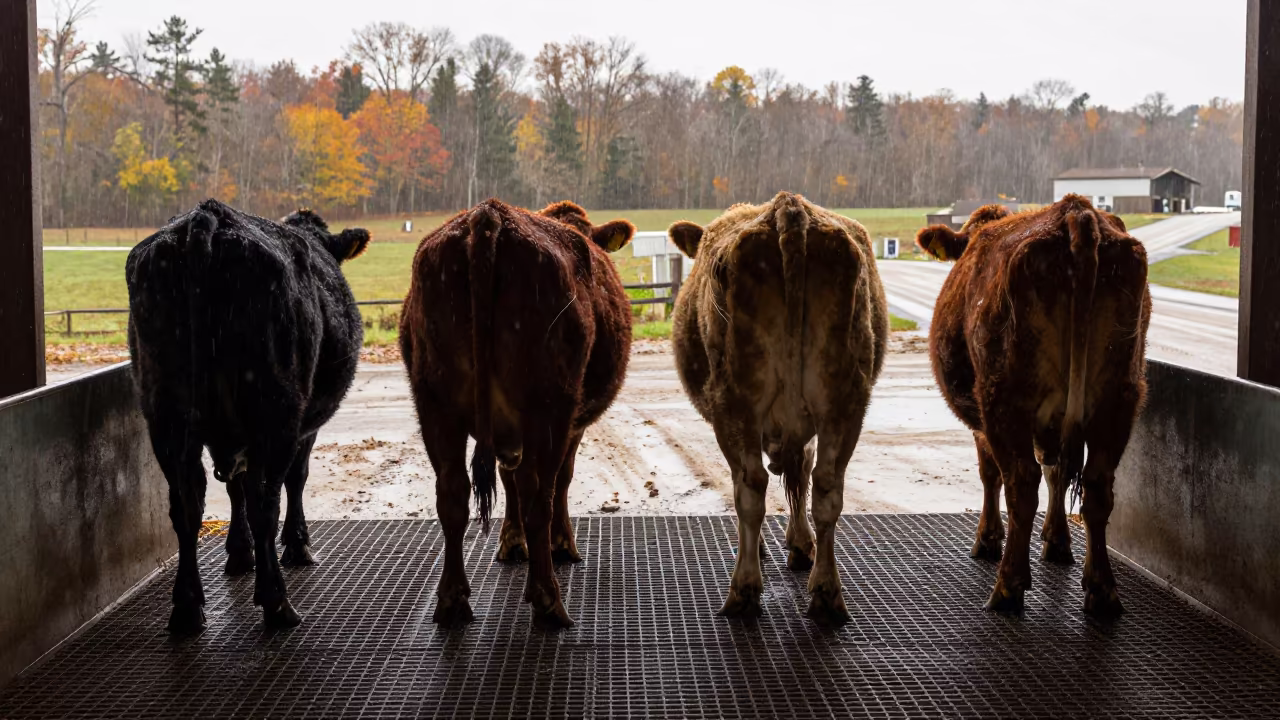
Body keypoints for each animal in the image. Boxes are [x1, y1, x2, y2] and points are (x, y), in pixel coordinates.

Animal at [127, 199, 371, 633]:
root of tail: (206, 216)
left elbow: (232, 488)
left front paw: (240, 553)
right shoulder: (303, 428)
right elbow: (295, 478)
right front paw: (297, 544)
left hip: (165, 415)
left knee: (186, 505)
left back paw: (187, 609)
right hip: (276, 411)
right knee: (264, 500)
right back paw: (277, 603)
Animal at [400, 199, 635, 630]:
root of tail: (489, 215)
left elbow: (506, 478)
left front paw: (511, 541)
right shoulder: (571, 424)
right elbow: (560, 479)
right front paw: (561, 544)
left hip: (434, 404)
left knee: (452, 494)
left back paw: (453, 600)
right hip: (547, 406)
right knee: (538, 493)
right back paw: (548, 597)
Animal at [668, 191, 889, 624]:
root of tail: (788, 207)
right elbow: (800, 474)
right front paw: (801, 546)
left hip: (736, 403)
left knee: (751, 487)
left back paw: (744, 589)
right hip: (844, 402)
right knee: (826, 486)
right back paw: (826, 594)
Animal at [915, 194, 1151, 618]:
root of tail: (1076, 211)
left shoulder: (986, 421)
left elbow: (990, 473)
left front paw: (989, 538)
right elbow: (1057, 473)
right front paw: (1056, 540)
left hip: (1004, 398)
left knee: (1022, 484)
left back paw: (1008, 586)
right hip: (1120, 398)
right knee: (1097, 489)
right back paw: (1102, 591)